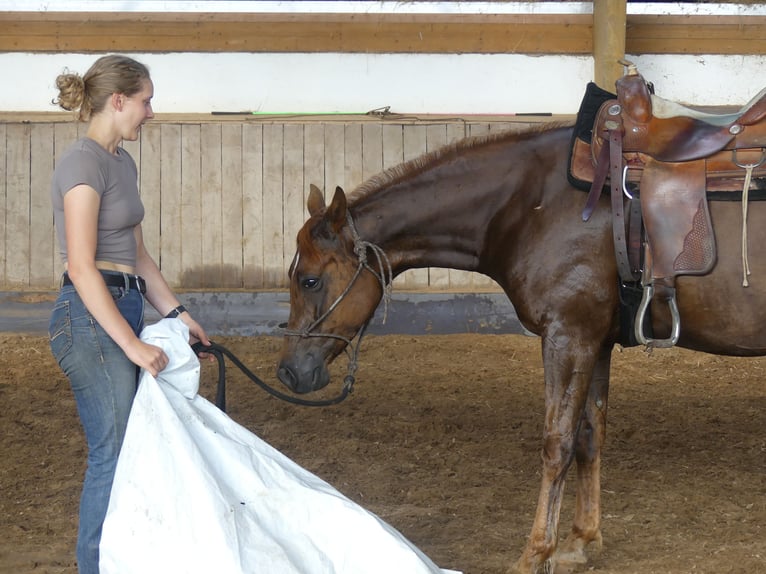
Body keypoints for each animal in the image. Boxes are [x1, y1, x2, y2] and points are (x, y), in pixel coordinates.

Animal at [272, 122, 764, 574]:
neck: (529, 204)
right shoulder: (596, 342)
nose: (289, 371)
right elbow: (589, 436)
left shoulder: (568, 336)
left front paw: (535, 553)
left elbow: (557, 443)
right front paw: (581, 540)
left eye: (309, 280)